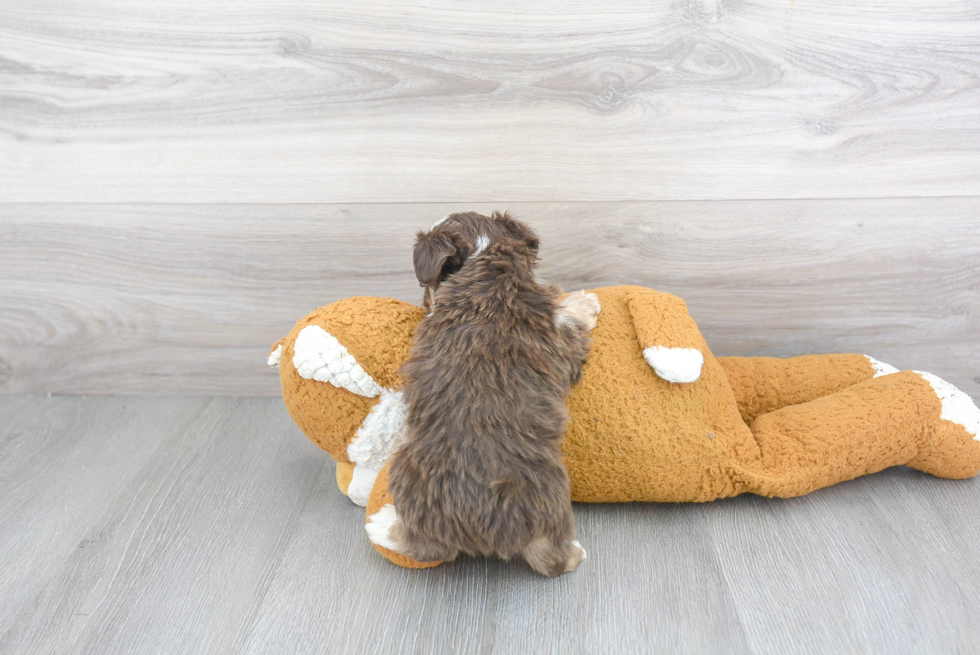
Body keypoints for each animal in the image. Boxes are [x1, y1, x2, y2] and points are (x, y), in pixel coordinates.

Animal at [366, 223, 596, 576]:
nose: (424, 304)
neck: (487, 257)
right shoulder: (560, 337)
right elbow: (568, 315)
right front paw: (585, 300)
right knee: (550, 560)